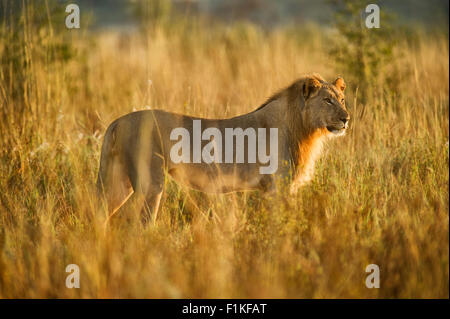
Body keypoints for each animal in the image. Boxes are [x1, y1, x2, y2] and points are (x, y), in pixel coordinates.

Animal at [96, 74, 350, 225]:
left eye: (342, 99)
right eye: (327, 100)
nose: (346, 119)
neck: (305, 129)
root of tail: (117, 122)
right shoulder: (277, 188)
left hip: (118, 180)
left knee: (101, 212)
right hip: (151, 183)